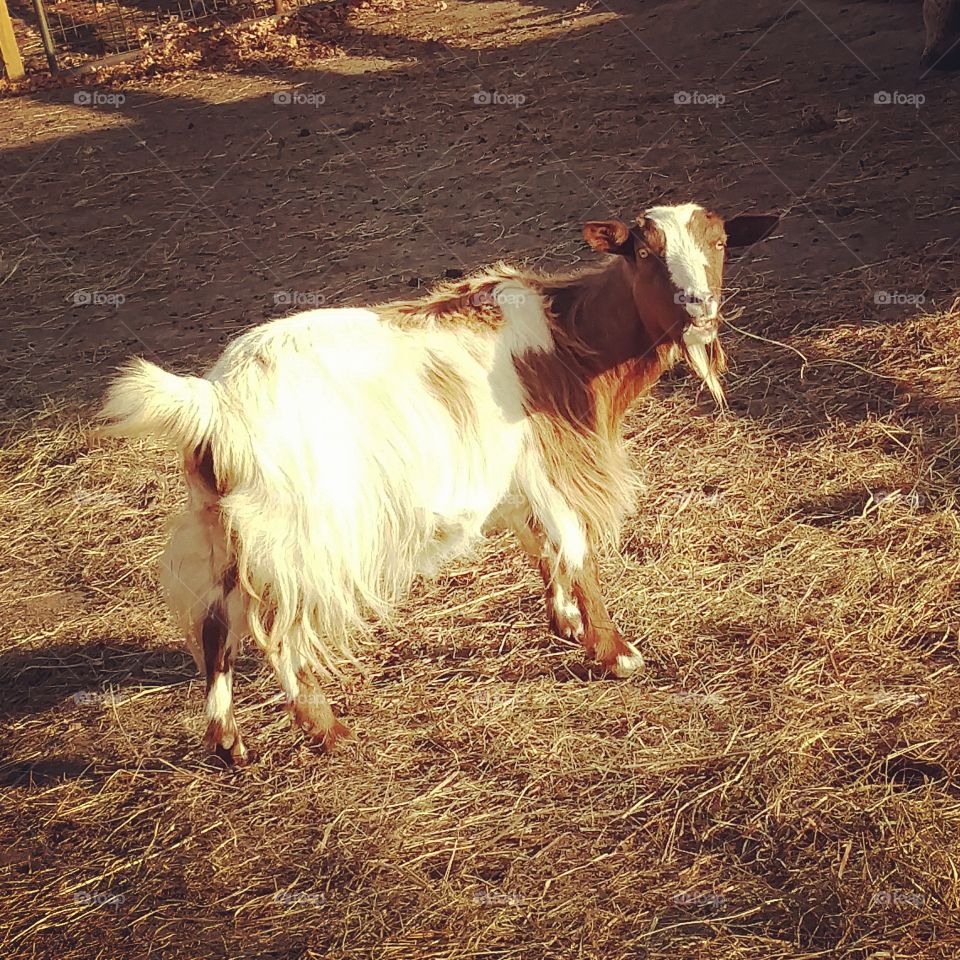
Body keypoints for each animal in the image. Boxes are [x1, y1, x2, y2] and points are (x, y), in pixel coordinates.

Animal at [100, 202, 779, 765]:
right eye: (641, 250)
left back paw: (228, 743)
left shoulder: (515, 475)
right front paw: (615, 653)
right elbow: (575, 549)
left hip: (222, 527)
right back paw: (327, 730)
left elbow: (542, 547)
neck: (572, 338)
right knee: (277, 630)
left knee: (215, 621)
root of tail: (215, 405)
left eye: (720, 242)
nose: (698, 306)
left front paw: (563, 621)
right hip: (298, 534)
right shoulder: (547, 465)